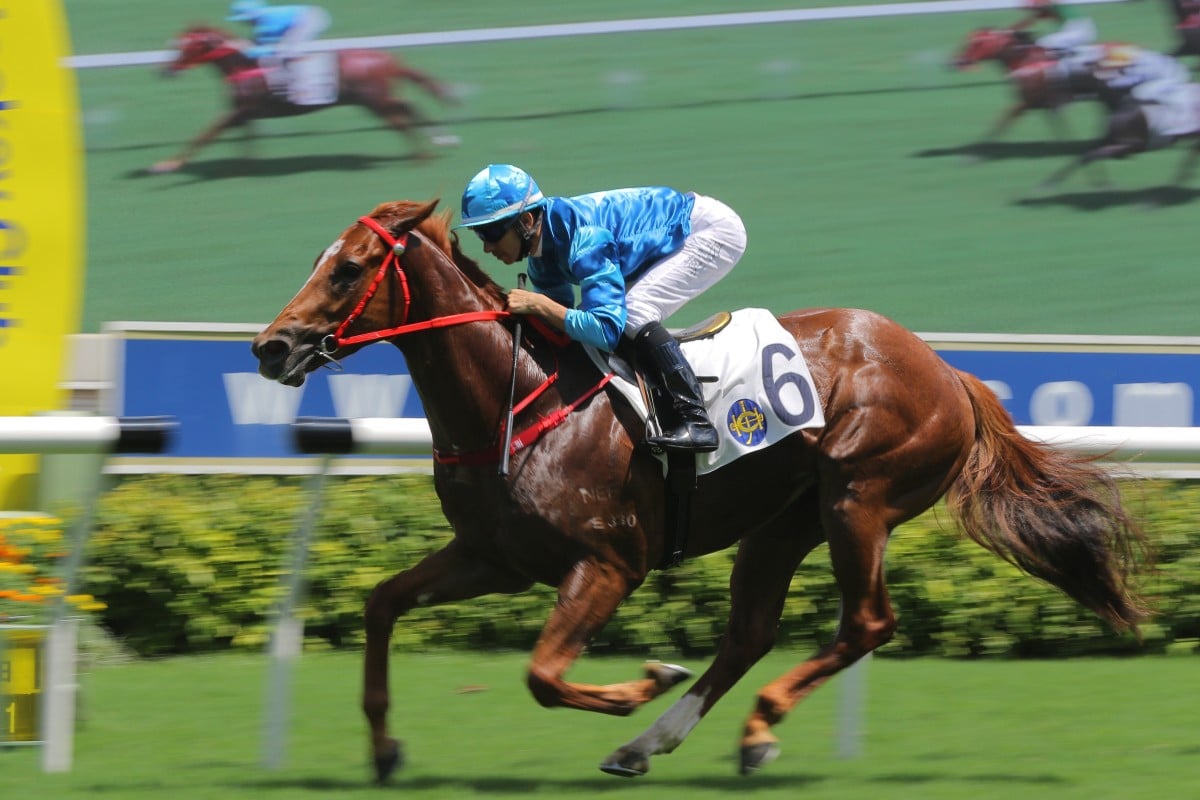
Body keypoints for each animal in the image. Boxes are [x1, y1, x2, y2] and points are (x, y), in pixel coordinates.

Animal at [146, 25, 453, 173]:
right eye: (178, 45)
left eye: (190, 46)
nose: (165, 71)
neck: (244, 65)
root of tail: (389, 59)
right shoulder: (245, 113)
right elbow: (245, 139)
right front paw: (244, 165)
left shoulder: (239, 111)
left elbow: (205, 135)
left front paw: (166, 165)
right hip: (377, 99)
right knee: (407, 108)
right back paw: (437, 141)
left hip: (374, 100)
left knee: (401, 118)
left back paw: (422, 156)